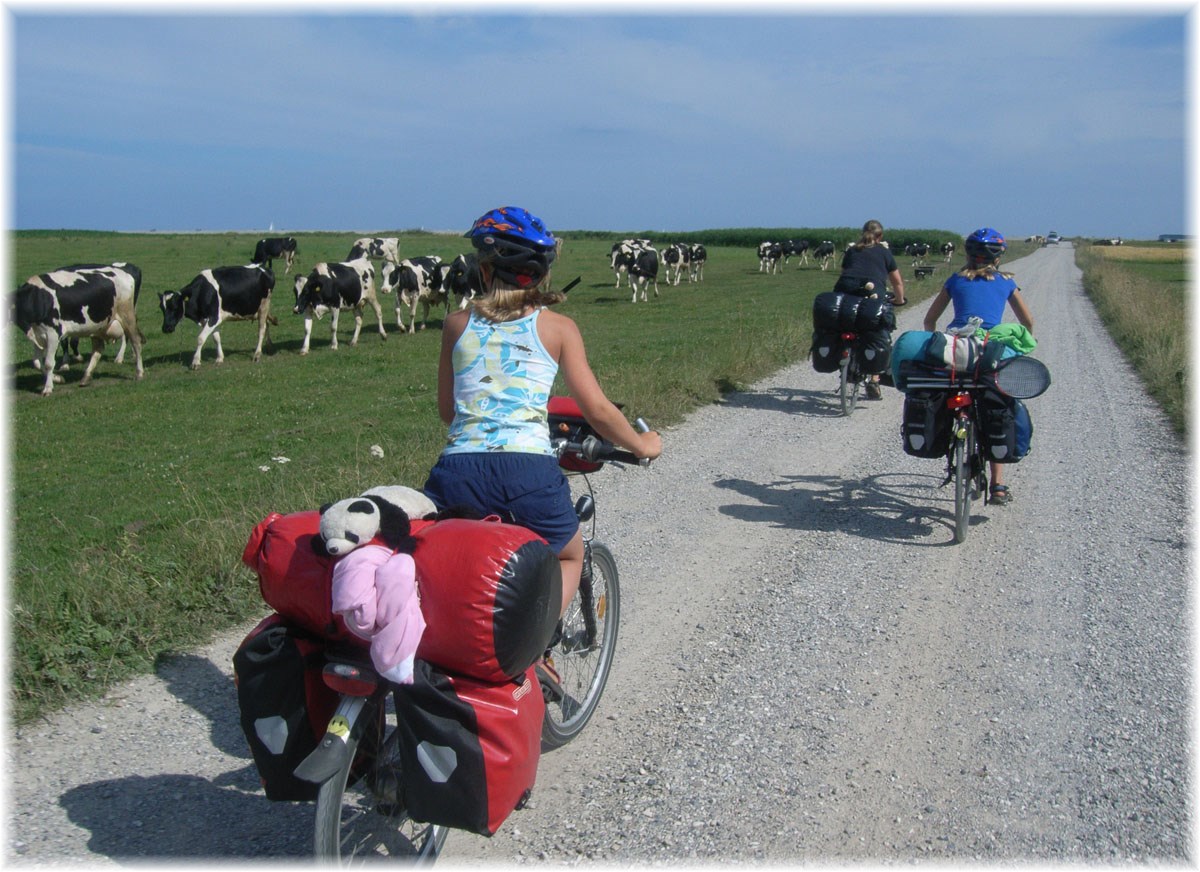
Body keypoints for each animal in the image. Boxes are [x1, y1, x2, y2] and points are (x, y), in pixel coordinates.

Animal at [14, 261, 144, 393]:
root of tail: (122, 270)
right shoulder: (38, 335)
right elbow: (37, 363)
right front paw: (58, 378)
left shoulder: (53, 334)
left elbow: (49, 363)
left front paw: (48, 388)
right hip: (98, 326)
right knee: (98, 349)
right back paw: (86, 377)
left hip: (127, 316)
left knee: (135, 340)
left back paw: (137, 371)